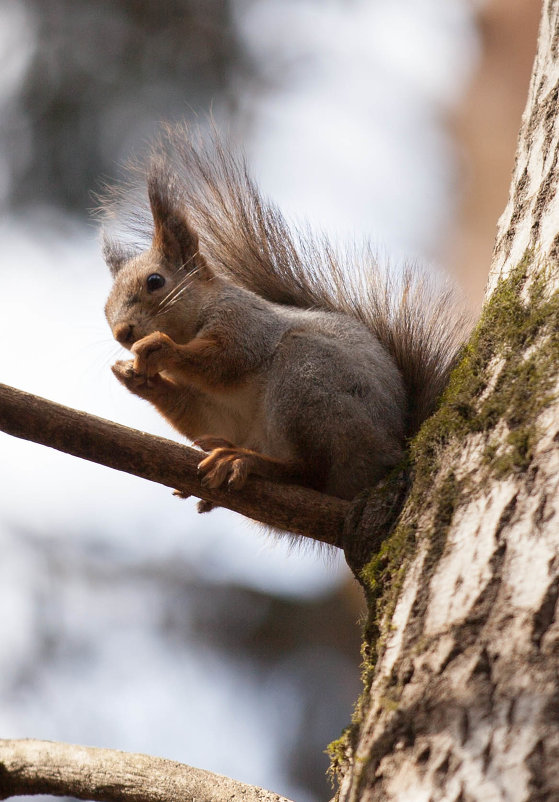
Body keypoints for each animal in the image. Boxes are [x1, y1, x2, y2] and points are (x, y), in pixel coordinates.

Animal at [100, 127, 468, 506]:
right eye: (105, 309)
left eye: (155, 282)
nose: (122, 333)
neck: (193, 322)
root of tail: (386, 460)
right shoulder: (218, 408)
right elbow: (205, 415)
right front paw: (135, 377)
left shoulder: (246, 323)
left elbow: (225, 360)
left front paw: (159, 348)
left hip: (307, 382)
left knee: (309, 474)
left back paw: (248, 462)